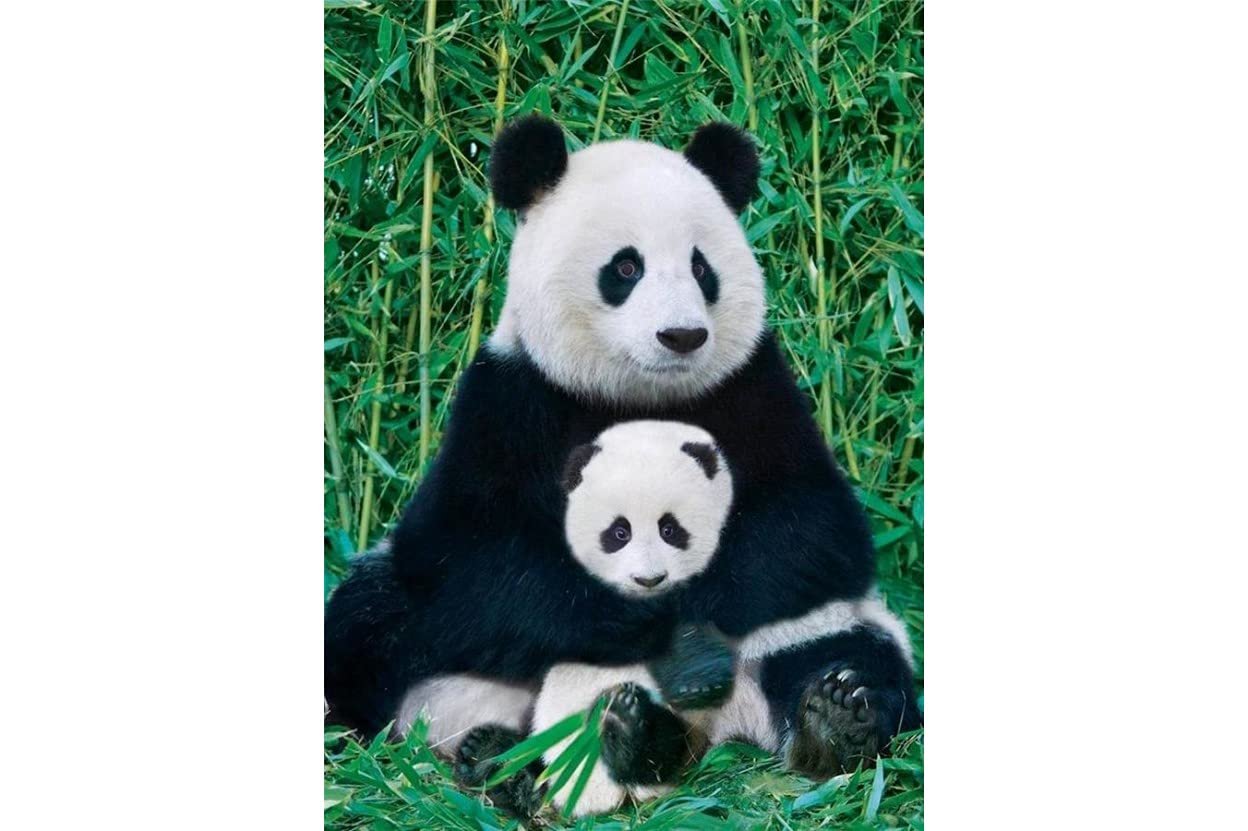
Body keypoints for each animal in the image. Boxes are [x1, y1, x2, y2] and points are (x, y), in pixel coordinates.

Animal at [324, 115, 920, 795]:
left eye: (701, 267)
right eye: (626, 267)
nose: (682, 335)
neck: (637, 394)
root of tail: (715, 731)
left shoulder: (754, 390)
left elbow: (810, 530)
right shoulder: (509, 403)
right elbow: (468, 556)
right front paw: (654, 624)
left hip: (823, 626)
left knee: (851, 651)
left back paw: (830, 718)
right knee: (369, 625)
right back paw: (511, 754)